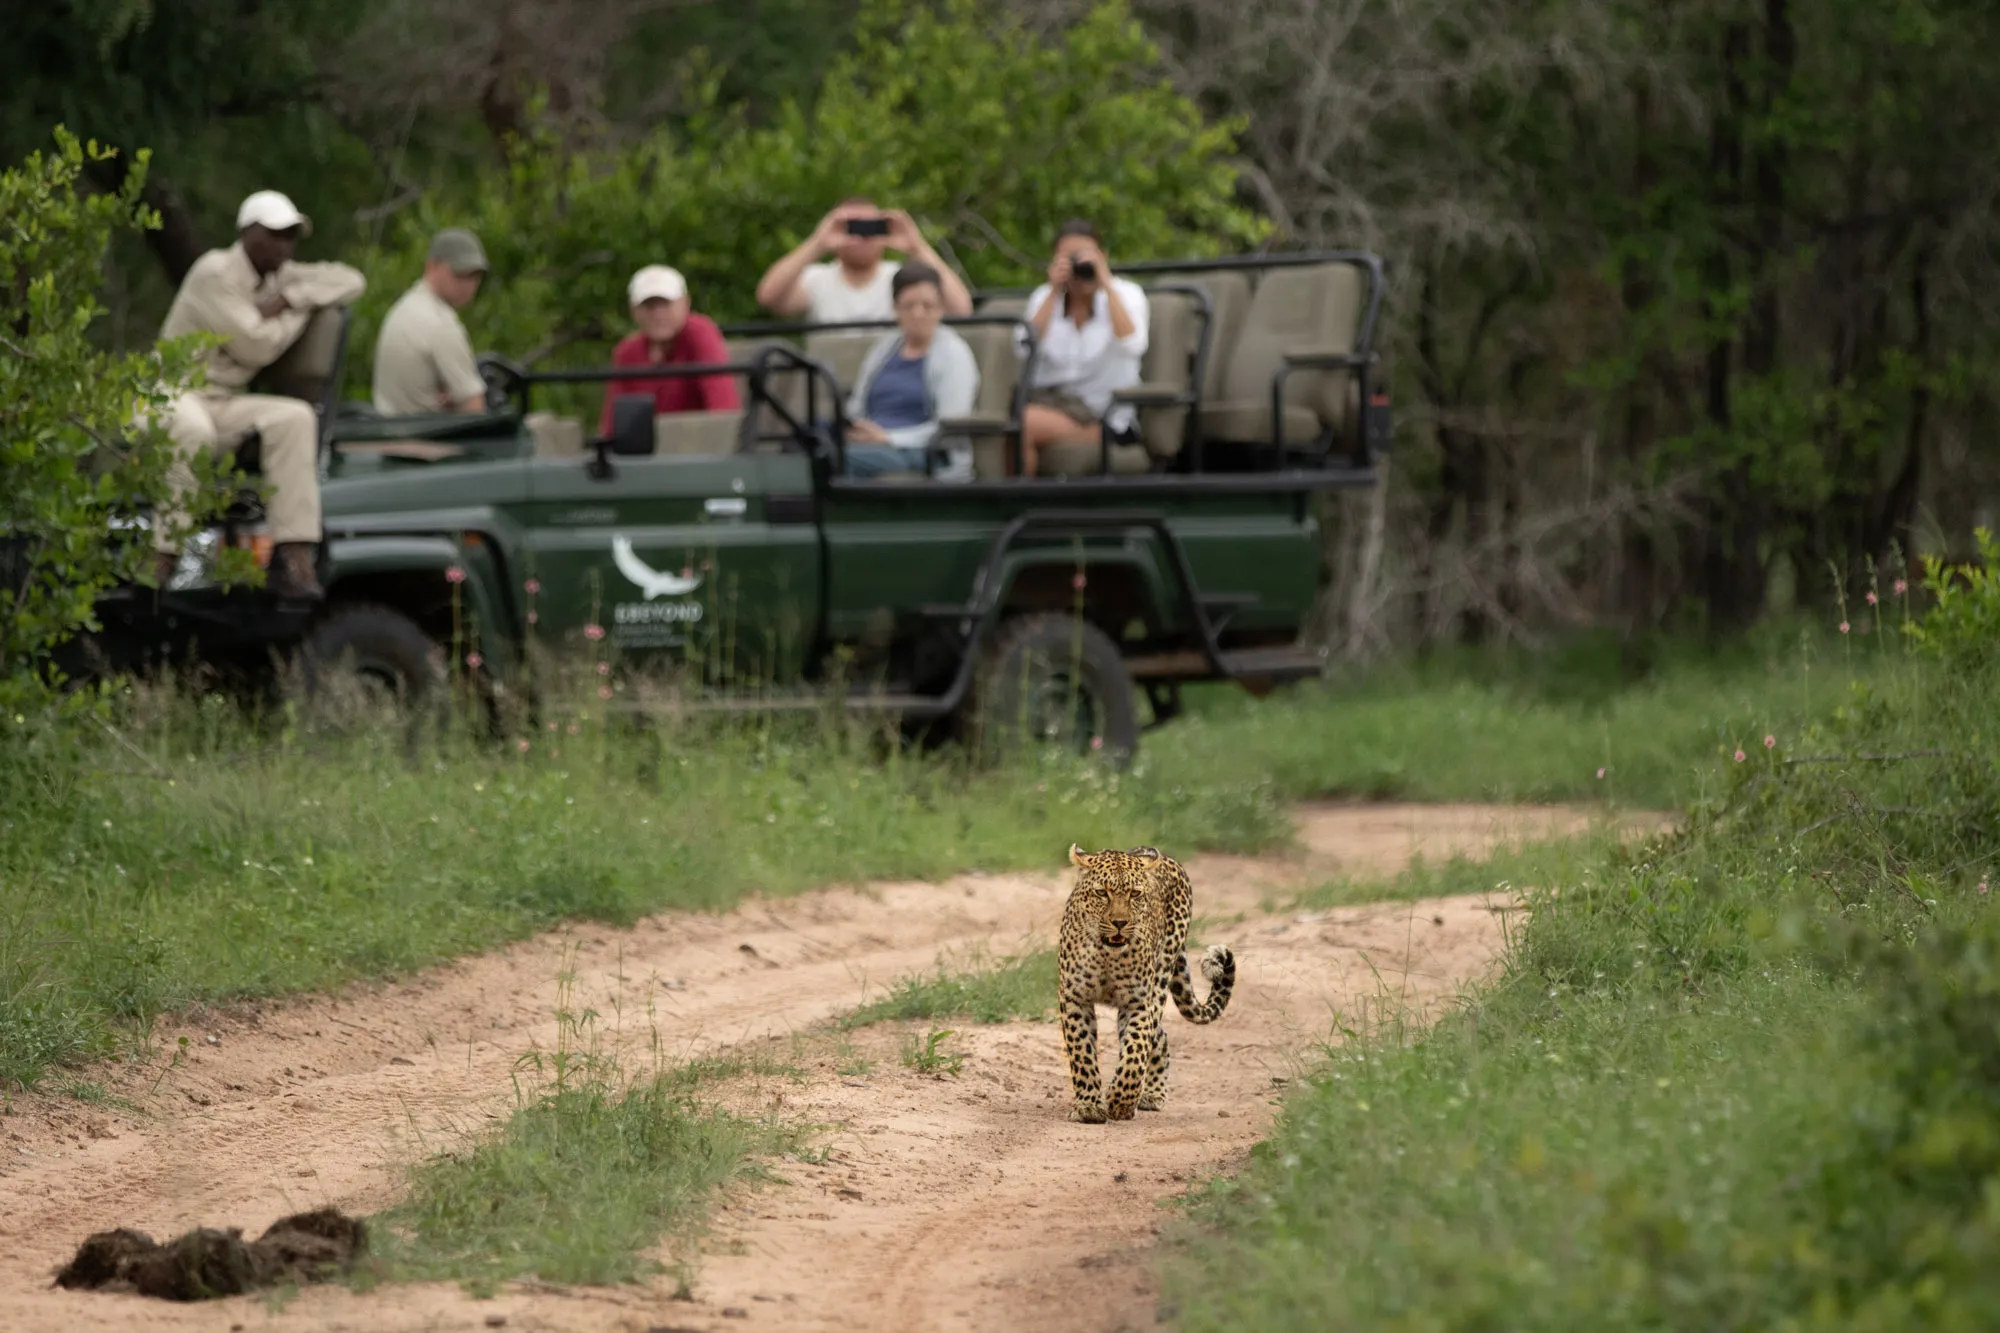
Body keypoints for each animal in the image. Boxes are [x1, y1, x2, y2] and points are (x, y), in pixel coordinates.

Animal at [1057, 843, 1235, 1124]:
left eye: (1135, 894)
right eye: (1102, 893)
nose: (1120, 923)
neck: (1108, 954)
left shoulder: (1139, 1001)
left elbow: (1136, 1050)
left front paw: (1119, 1102)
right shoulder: (1075, 997)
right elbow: (1082, 1051)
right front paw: (1088, 1106)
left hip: (1161, 976)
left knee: (1156, 1036)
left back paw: (1151, 1093)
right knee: (1160, 1035)